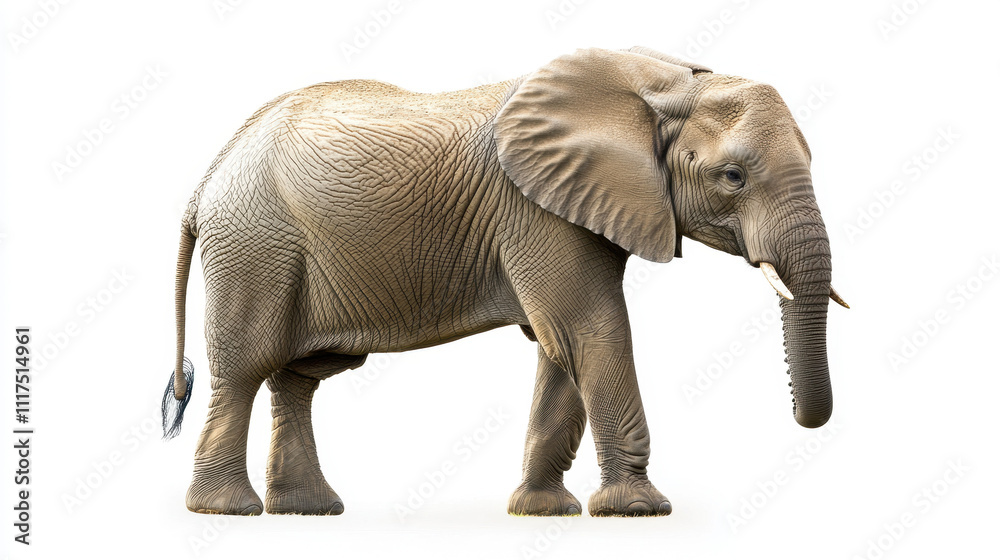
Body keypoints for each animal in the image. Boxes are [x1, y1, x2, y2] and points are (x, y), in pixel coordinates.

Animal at [162, 46, 847, 518]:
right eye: (732, 177)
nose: (803, 420)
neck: (663, 83)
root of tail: (208, 175)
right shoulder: (537, 211)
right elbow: (591, 330)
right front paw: (639, 511)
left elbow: (560, 345)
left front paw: (542, 513)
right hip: (255, 245)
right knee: (245, 368)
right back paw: (229, 511)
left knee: (298, 376)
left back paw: (310, 511)